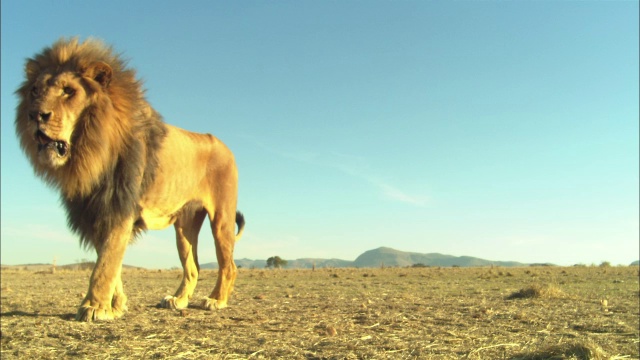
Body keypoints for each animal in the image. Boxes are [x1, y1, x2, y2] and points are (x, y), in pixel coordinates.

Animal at [15, 38, 245, 322]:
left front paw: (94, 306)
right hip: (185, 225)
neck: (90, 150)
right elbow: (110, 262)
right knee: (193, 267)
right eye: (34, 90)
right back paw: (178, 300)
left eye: (69, 91)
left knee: (229, 264)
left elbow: (105, 264)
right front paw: (114, 307)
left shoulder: (119, 205)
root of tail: (225, 146)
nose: (35, 115)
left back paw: (216, 300)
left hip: (221, 218)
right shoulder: (95, 210)